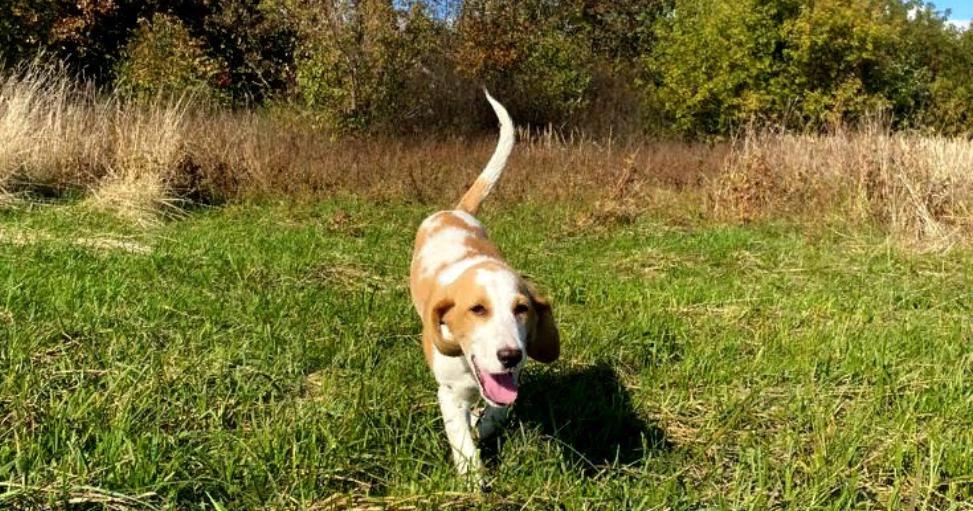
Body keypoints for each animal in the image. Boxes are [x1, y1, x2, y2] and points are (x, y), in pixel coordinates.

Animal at [410, 93, 560, 480]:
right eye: (477, 309)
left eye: (522, 309)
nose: (510, 355)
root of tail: (455, 211)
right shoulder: (448, 394)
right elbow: (463, 442)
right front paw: (472, 478)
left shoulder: (510, 381)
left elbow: (498, 409)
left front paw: (484, 421)